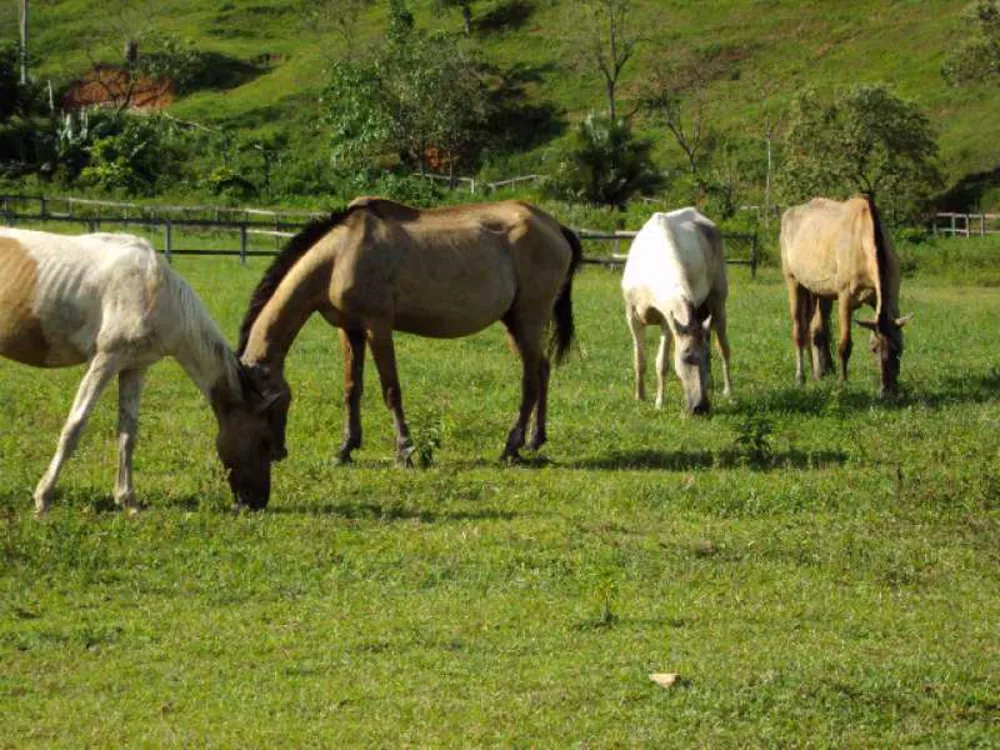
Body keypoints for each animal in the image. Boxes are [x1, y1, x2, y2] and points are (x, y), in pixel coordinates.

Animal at [227, 198, 584, 506]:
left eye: (264, 409)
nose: (277, 452)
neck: (340, 254)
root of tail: (555, 226)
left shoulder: (378, 326)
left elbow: (390, 390)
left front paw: (404, 452)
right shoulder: (350, 330)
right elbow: (352, 389)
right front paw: (346, 448)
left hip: (528, 318)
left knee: (530, 381)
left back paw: (511, 446)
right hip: (517, 322)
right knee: (542, 370)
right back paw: (535, 439)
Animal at [620, 207, 732, 418]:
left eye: (708, 358)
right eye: (686, 358)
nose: (700, 408)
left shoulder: (667, 322)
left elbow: (662, 364)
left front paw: (659, 403)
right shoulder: (632, 318)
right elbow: (639, 360)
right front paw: (640, 396)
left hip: (718, 306)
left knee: (724, 349)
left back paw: (729, 393)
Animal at [780, 195, 916, 400]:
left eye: (898, 348)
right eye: (873, 349)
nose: (887, 390)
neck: (863, 242)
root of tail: (788, 214)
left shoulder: (883, 297)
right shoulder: (845, 298)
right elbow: (844, 345)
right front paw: (843, 384)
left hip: (821, 292)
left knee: (816, 330)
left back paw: (818, 373)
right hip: (793, 281)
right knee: (799, 331)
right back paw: (801, 378)